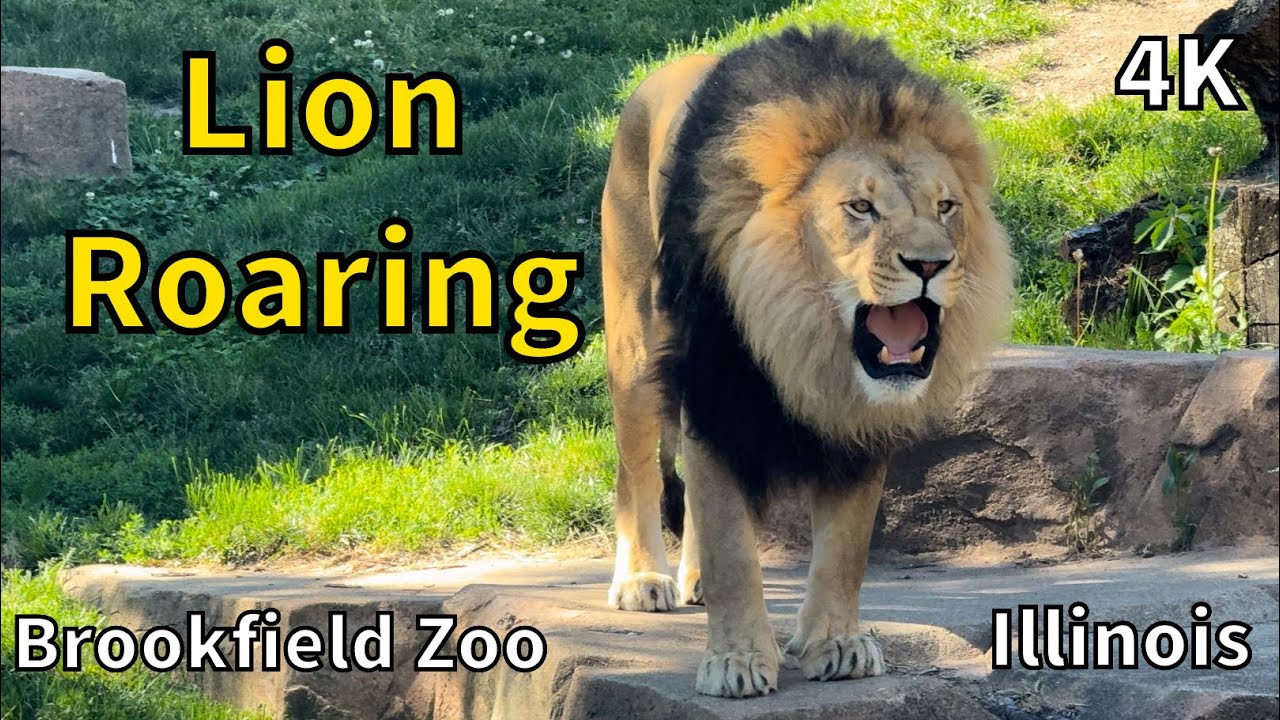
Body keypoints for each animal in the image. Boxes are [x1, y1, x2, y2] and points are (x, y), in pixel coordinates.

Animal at [599, 27, 1013, 698]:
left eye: (946, 206)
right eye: (861, 209)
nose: (931, 264)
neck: (806, 338)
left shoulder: (860, 422)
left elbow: (844, 549)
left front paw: (837, 644)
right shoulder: (715, 390)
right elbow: (732, 548)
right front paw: (737, 660)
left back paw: (692, 581)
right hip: (635, 348)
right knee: (636, 471)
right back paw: (644, 580)